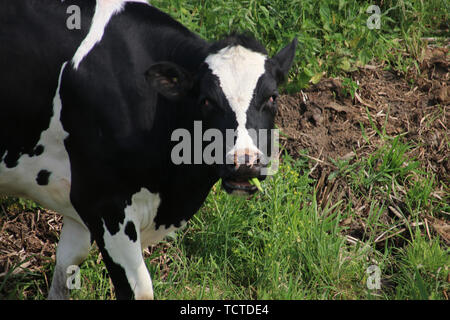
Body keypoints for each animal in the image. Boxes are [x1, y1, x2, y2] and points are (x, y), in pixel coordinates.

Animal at [0, 0, 298, 300]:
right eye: (206, 101)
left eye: (272, 97)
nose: (244, 163)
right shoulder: (104, 202)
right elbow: (139, 289)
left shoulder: (79, 200)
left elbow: (67, 266)